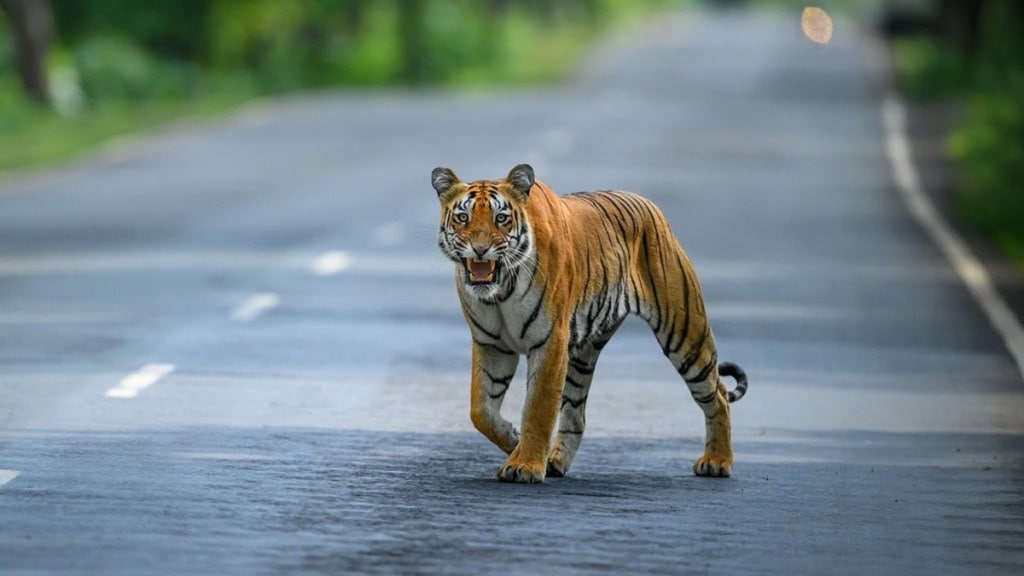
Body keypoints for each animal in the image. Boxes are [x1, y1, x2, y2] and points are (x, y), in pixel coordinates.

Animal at [428, 163, 749, 481]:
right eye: (463, 218)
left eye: (501, 219)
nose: (480, 249)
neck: (501, 290)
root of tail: (651, 207)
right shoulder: (492, 344)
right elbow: (480, 410)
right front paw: (513, 440)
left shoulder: (550, 341)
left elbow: (538, 408)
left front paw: (526, 465)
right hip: (582, 356)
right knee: (576, 415)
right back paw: (555, 462)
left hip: (684, 333)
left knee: (718, 395)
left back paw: (717, 462)